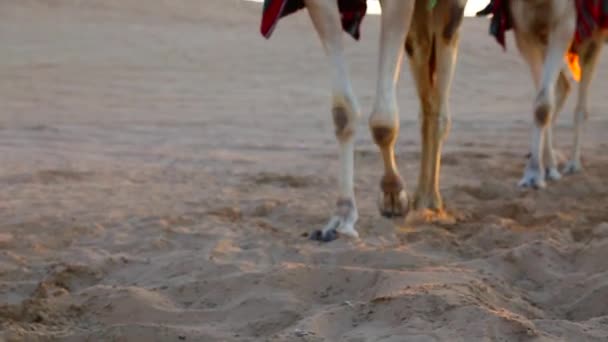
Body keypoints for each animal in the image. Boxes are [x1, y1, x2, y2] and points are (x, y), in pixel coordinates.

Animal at [260, 0, 466, 240]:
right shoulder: (319, 4)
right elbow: (342, 111)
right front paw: (342, 216)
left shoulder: (400, 4)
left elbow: (383, 123)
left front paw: (394, 193)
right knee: (422, 56)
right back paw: (423, 199)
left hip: (450, 11)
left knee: (439, 90)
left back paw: (429, 202)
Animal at [502, 0, 604, 187]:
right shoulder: (524, 31)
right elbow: (541, 102)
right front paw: (542, 169)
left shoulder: (565, 24)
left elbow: (543, 103)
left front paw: (535, 174)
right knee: (563, 85)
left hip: (593, 37)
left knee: (581, 102)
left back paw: (573, 164)